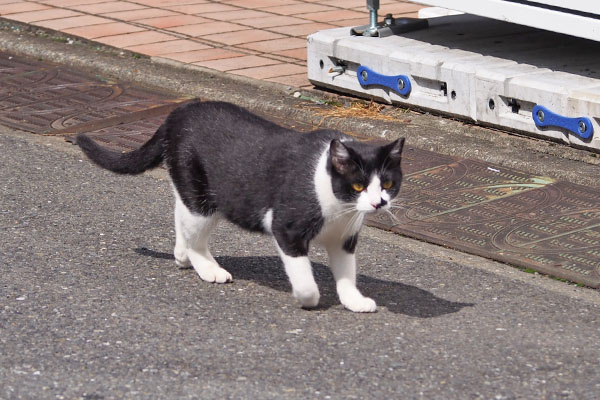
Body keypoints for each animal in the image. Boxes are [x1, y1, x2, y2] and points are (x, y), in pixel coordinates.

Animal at [77, 99, 406, 312]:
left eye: (388, 184)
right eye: (358, 185)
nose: (378, 203)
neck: (339, 209)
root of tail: (177, 113)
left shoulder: (344, 238)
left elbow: (347, 272)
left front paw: (354, 300)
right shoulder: (286, 228)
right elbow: (305, 279)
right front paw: (307, 298)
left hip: (194, 189)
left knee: (180, 214)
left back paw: (181, 255)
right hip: (201, 196)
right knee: (195, 235)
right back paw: (208, 268)